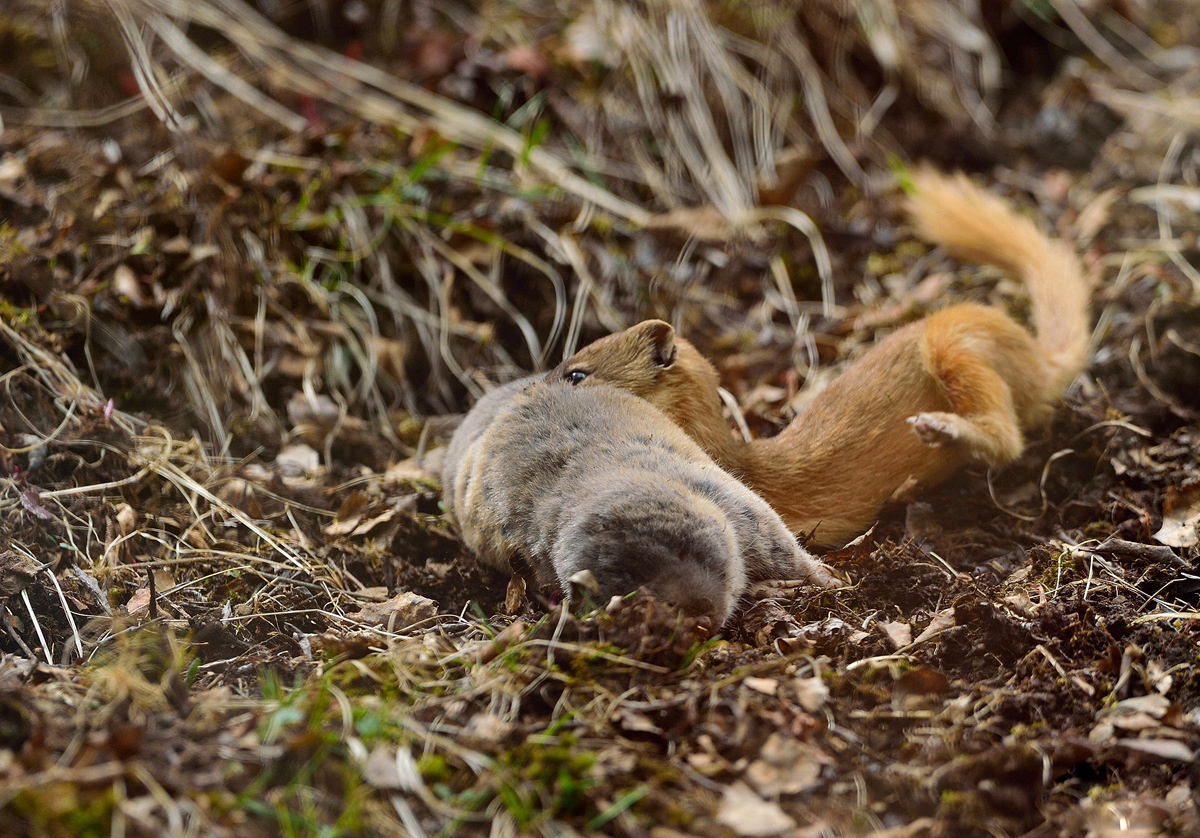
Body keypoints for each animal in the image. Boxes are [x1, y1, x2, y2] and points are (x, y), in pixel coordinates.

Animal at [436, 374, 840, 624]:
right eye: (628, 588)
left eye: (693, 550)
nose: (699, 618)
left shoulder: (737, 505)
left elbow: (783, 547)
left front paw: (828, 579)